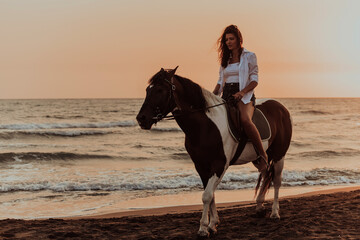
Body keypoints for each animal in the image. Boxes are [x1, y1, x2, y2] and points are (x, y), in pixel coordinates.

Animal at [136, 66, 292, 237]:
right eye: (147, 89)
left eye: (160, 90)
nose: (141, 118)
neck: (205, 127)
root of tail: (281, 108)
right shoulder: (201, 166)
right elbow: (210, 194)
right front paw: (212, 224)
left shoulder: (219, 165)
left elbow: (207, 195)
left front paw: (203, 228)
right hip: (258, 157)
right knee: (265, 173)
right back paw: (259, 207)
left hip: (279, 155)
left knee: (276, 180)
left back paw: (275, 213)